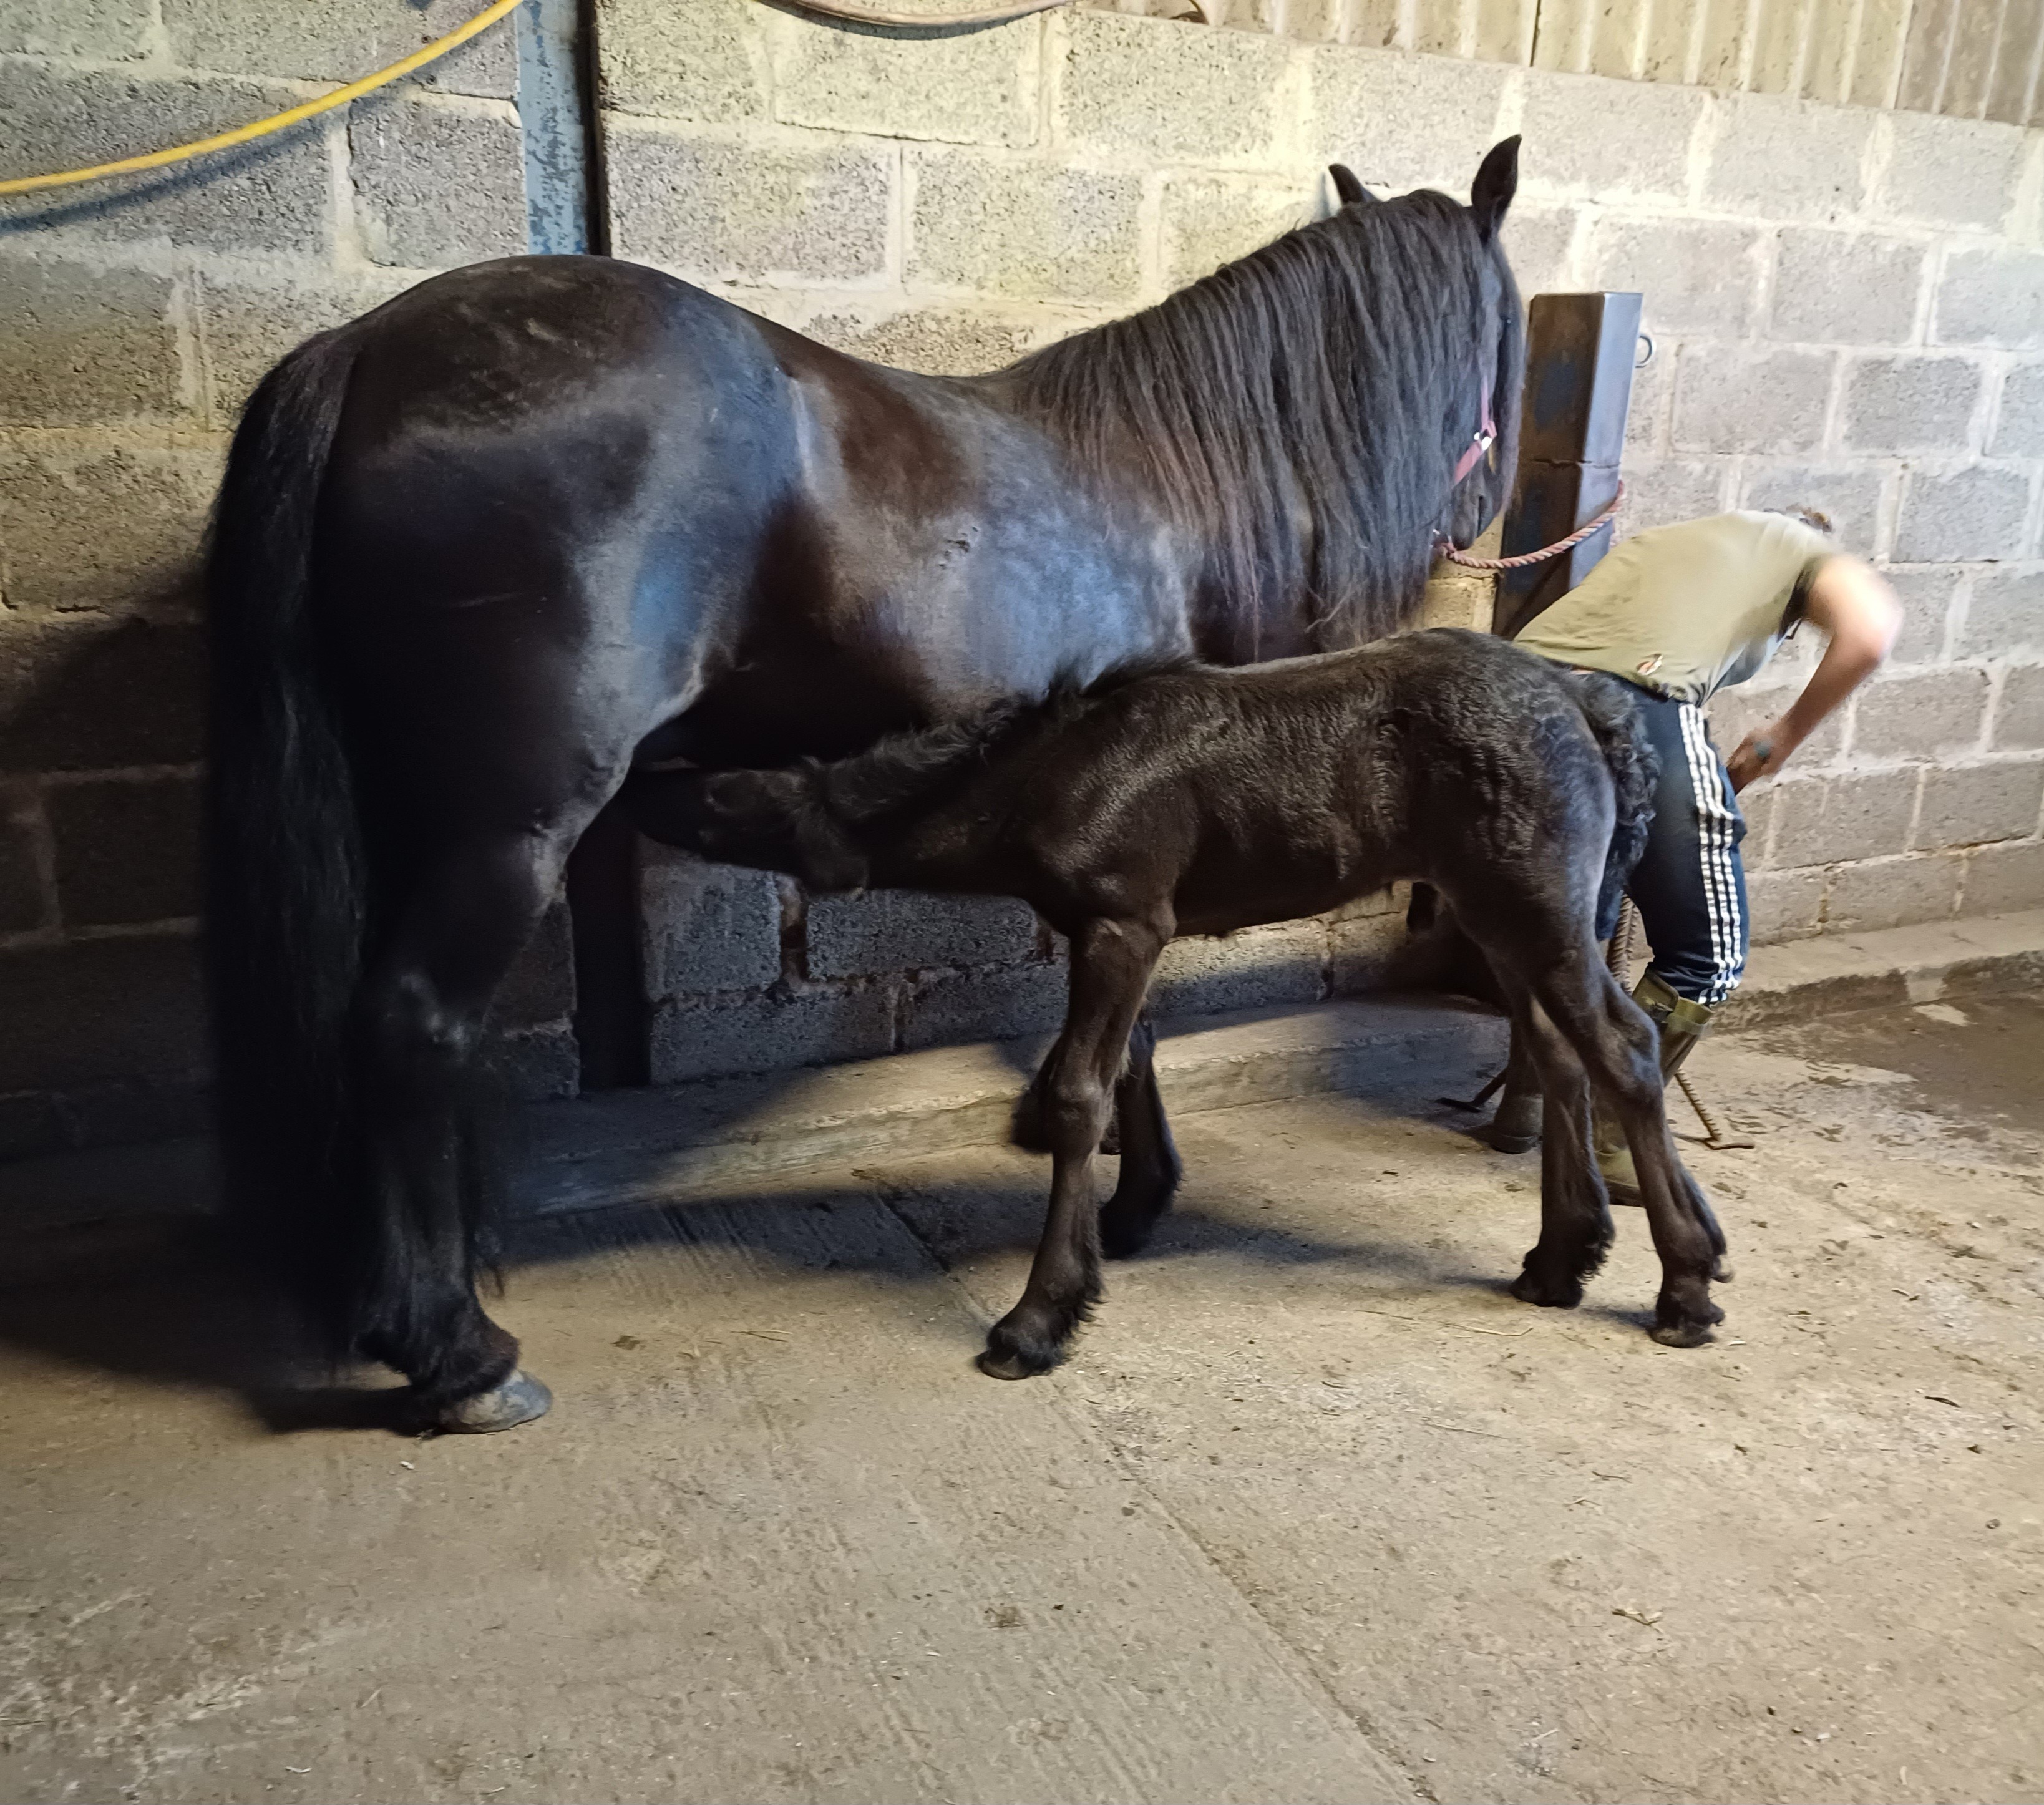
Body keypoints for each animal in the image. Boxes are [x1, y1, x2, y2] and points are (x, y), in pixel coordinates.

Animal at [630, 630, 1733, 1373]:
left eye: (720, 796)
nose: (629, 781)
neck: (1045, 773)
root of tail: (1588, 705)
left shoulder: (1125, 918)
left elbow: (1080, 1093)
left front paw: (1040, 1315)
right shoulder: (1117, 927)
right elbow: (1134, 1055)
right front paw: (1131, 1212)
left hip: (1531, 907)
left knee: (1625, 1047)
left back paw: (1681, 1284)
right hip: (1503, 915)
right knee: (1557, 1052)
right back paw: (1563, 1256)